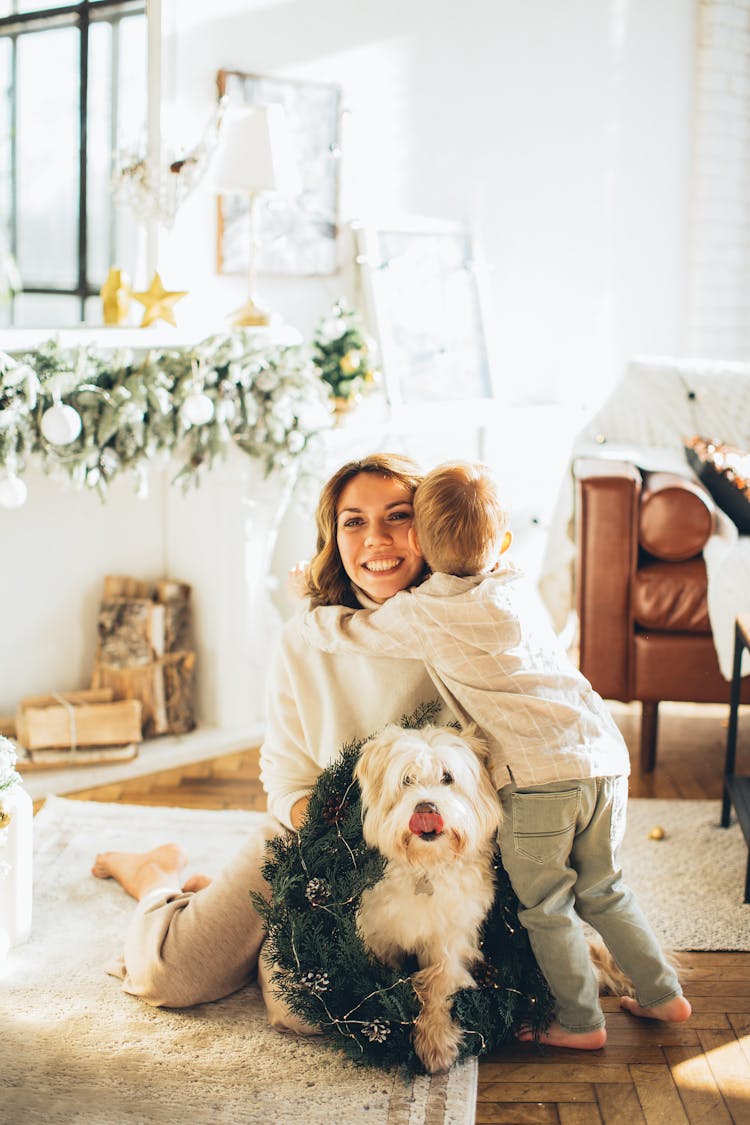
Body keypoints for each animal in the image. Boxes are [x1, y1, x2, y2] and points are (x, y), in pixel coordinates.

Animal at [353, 724, 503, 1075]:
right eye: (407, 780)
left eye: (447, 777)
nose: (425, 809)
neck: (427, 868)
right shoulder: (375, 933)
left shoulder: (450, 941)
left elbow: (437, 985)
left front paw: (435, 1041)